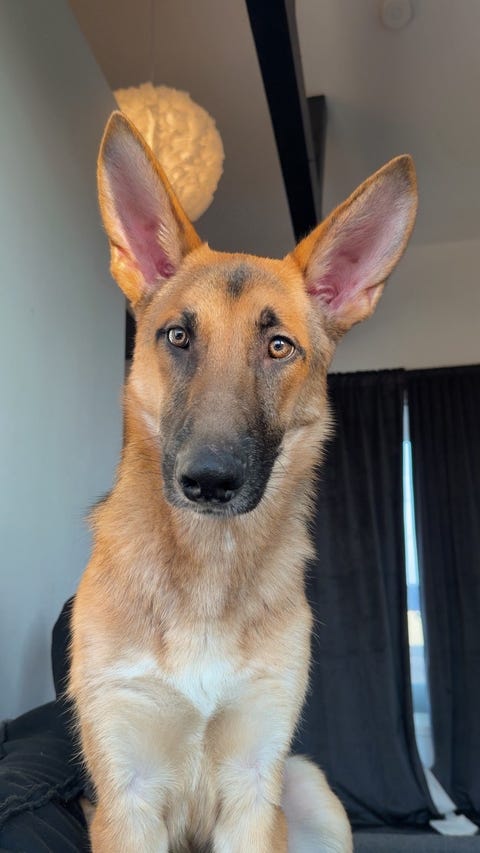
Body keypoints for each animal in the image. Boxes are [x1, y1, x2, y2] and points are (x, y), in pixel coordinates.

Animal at [69, 111, 417, 852]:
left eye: (278, 346)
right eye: (178, 337)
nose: (209, 482)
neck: (208, 568)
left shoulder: (255, 792)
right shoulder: (127, 798)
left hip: (310, 789)